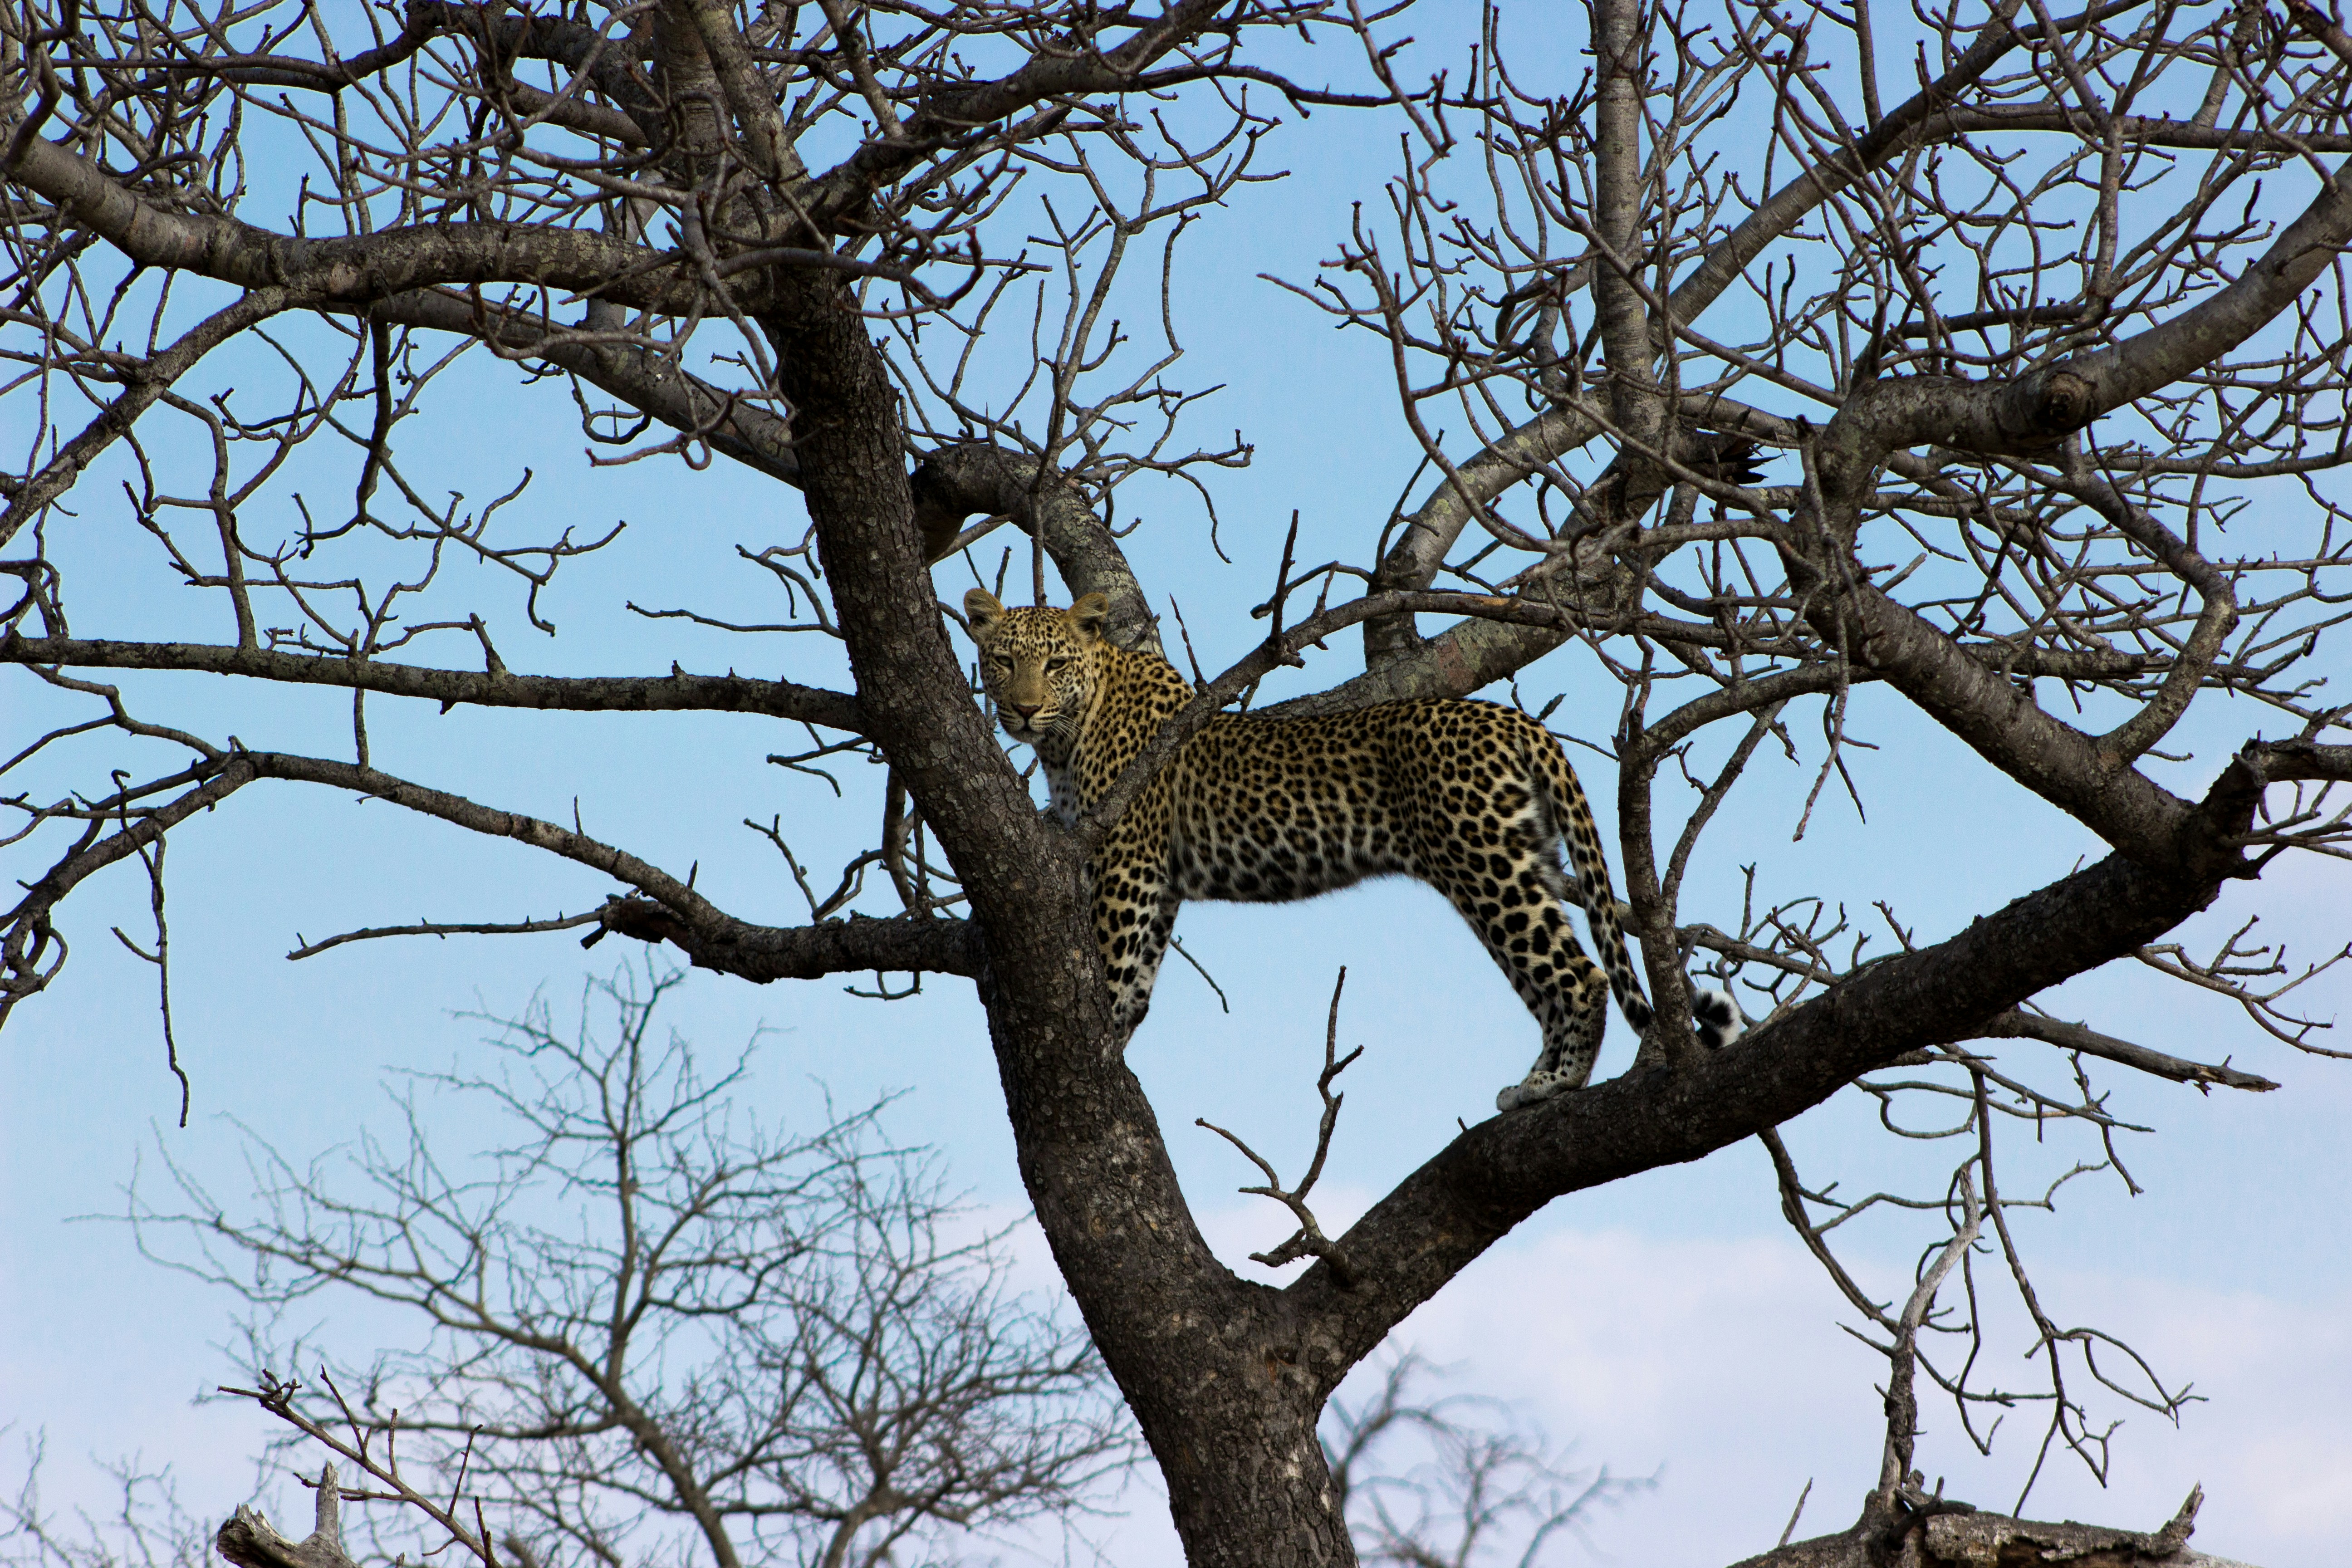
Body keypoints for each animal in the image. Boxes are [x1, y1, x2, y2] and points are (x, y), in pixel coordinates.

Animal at [962, 589, 1741, 1110]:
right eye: (1001, 660)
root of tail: (1513, 719)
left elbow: (1113, 964)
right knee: (1556, 976)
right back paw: (1537, 1079)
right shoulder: (1159, 879)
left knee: (1579, 975)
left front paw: (1096, 1042)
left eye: (1055, 664)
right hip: (1527, 854)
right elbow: (1139, 986)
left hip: (1483, 864)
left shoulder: (1126, 862)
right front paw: (1116, 1039)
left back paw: (1548, 1086)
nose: (1022, 709)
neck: (1070, 734)